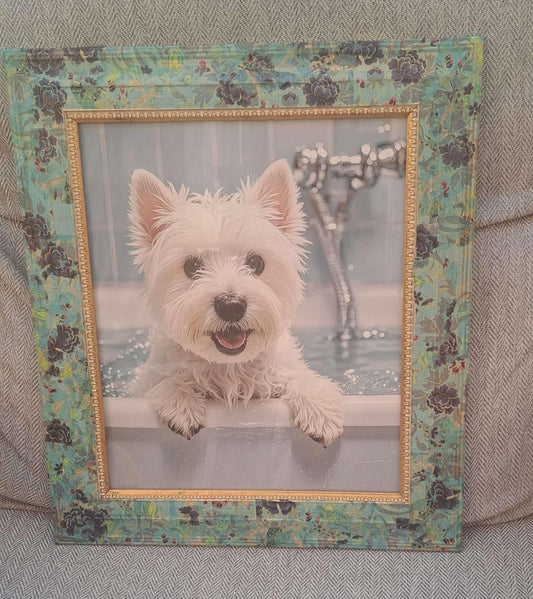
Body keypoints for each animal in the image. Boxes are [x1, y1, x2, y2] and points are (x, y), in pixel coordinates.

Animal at [129, 157, 344, 448]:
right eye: (191, 265)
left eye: (256, 262)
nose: (231, 305)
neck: (229, 368)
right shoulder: (148, 380)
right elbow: (163, 381)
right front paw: (181, 403)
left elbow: (298, 376)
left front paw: (320, 409)